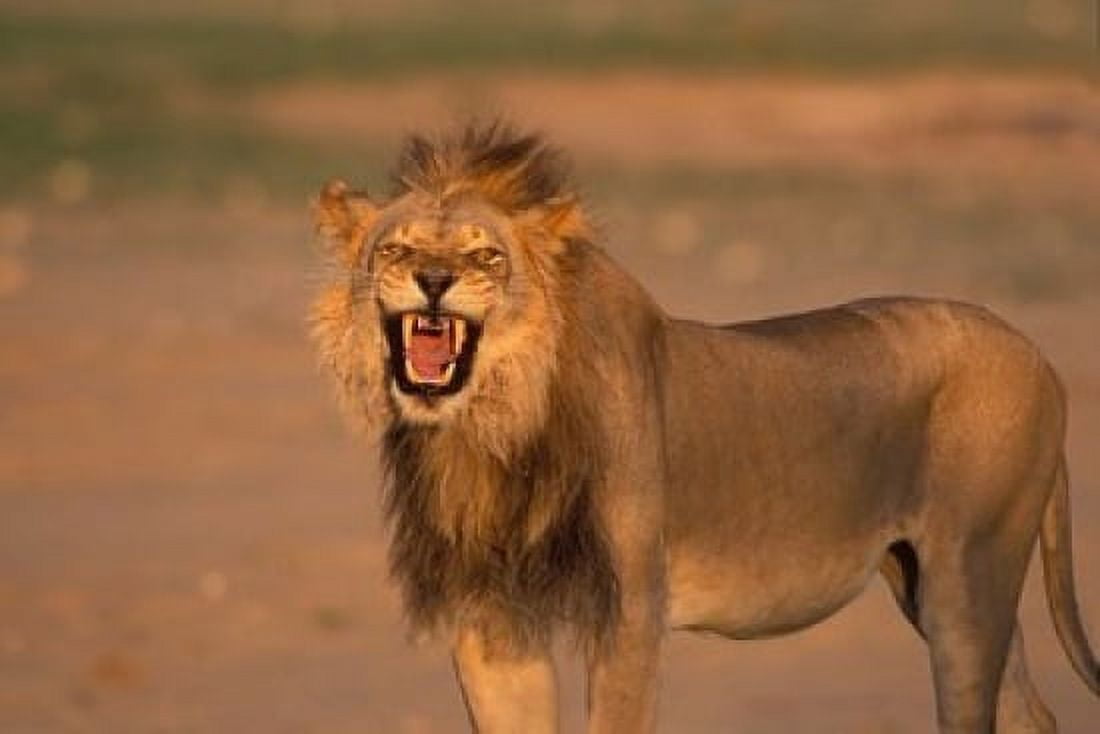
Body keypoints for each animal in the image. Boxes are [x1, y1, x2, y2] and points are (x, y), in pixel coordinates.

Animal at [310, 122, 1098, 733]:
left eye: (485, 256)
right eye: (396, 250)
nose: (434, 282)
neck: (496, 429)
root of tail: (1038, 356)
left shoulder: (630, 612)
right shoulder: (490, 617)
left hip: (970, 575)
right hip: (932, 584)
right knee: (1029, 712)